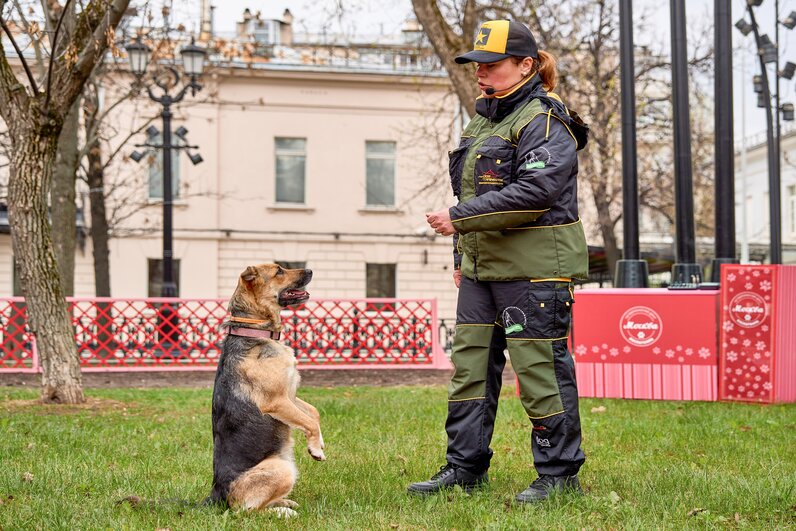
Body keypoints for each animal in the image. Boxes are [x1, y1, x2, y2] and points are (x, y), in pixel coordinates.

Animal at [208, 263, 325, 517]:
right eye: (279, 271)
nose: (311, 270)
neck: (254, 331)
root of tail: (218, 496)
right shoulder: (278, 401)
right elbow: (310, 422)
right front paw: (315, 449)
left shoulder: (290, 395)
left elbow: (314, 413)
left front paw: (319, 443)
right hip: (282, 468)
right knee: (247, 511)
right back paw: (283, 512)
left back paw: (285, 502)